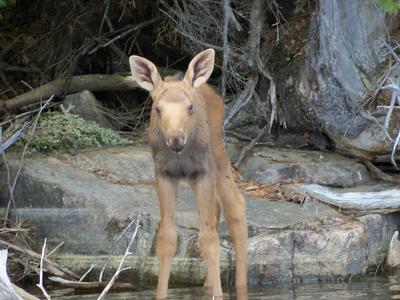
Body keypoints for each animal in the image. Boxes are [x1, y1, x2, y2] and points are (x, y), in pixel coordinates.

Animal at [129, 48, 247, 298]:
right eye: (158, 108)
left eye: (190, 107)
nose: (176, 138)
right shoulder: (164, 174)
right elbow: (166, 239)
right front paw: (161, 294)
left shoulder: (204, 171)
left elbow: (209, 239)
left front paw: (219, 295)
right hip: (195, 177)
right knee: (216, 208)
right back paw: (208, 283)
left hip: (218, 158)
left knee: (235, 206)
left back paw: (240, 285)